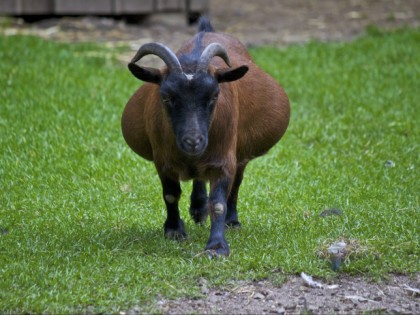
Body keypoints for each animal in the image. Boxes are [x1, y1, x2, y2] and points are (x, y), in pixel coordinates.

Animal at [122, 17, 288, 258]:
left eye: (214, 95)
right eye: (166, 97)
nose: (193, 142)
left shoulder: (224, 158)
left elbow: (218, 202)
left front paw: (217, 247)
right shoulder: (163, 161)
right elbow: (170, 195)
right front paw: (174, 231)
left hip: (240, 153)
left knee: (235, 185)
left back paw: (232, 221)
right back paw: (198, 209)